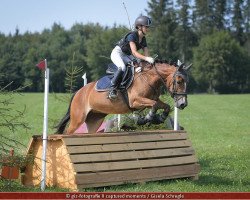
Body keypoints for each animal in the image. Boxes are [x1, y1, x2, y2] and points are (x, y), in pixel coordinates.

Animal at [55, 59, 191, 134]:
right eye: (179, 81)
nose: (182, 104)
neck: (148, 78)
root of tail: (78, 92)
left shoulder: (153, 99)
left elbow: (164, 105)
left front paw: (160, 118)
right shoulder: (135, 101)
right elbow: (154, 105)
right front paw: (147, 118)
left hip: (94, 119)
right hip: (78, 118)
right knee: (68, 132)